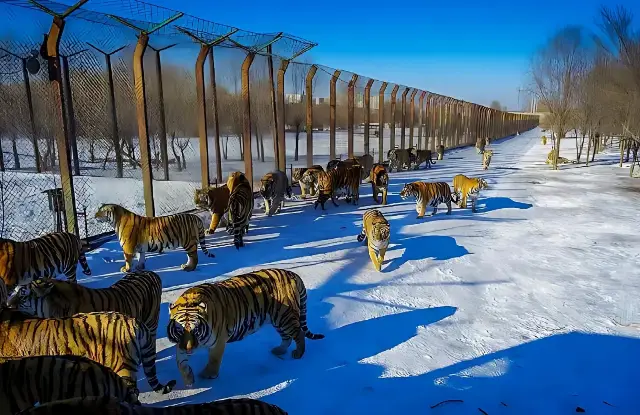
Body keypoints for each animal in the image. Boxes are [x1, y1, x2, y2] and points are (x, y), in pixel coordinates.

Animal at [168, 268, 322, 388]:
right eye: (180, 330)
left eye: (196, 330)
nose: (189, 349)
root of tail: (292, 274)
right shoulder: (180, 343)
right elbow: (180, 363)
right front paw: (189, 379)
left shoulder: (218, 342)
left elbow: (214, 360)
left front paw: (208, 375)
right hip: (278, 319)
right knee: (287, 337)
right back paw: (279, 350)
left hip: (284, 317)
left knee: (299, 333)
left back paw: (298, 353)